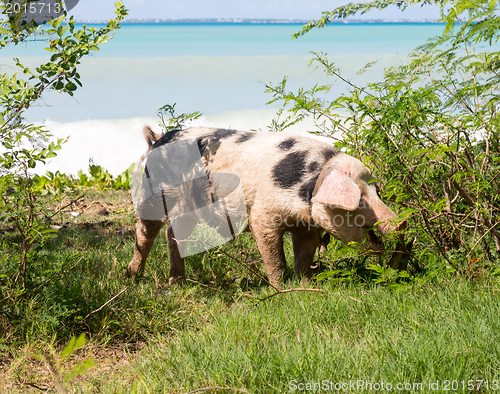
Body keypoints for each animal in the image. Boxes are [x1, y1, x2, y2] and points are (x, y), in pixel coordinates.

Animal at [126, 127, 406, 288]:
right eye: (359, 196)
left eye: (376, 190)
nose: (401, 221)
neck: (309, 186)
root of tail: (156, 140)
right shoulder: (263, 215)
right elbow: (275, 256)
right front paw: (281, 289)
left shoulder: (305, 226)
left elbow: (304, 255)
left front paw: (306, 285)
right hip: (152, 194)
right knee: (146, 233)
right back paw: (132, 277)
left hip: (188, 207)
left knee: (173, 234)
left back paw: (177, 282)